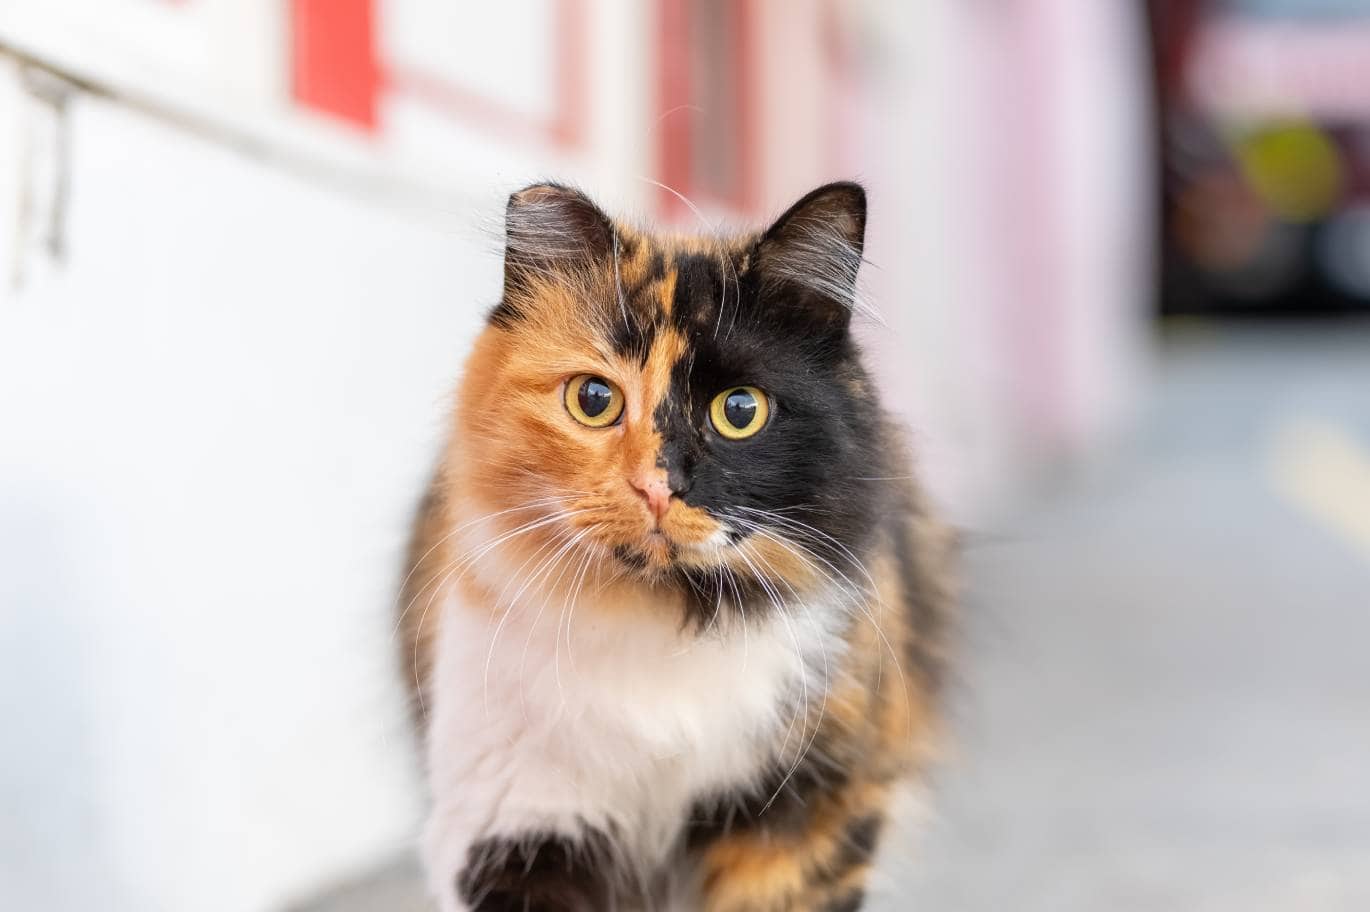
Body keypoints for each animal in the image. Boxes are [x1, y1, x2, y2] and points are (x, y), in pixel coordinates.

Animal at [397, 179, 953, 909]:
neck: (660, 617)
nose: (657, 488)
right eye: (594, 399)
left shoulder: (802, 815)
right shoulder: (516, 817)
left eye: (740, 411)